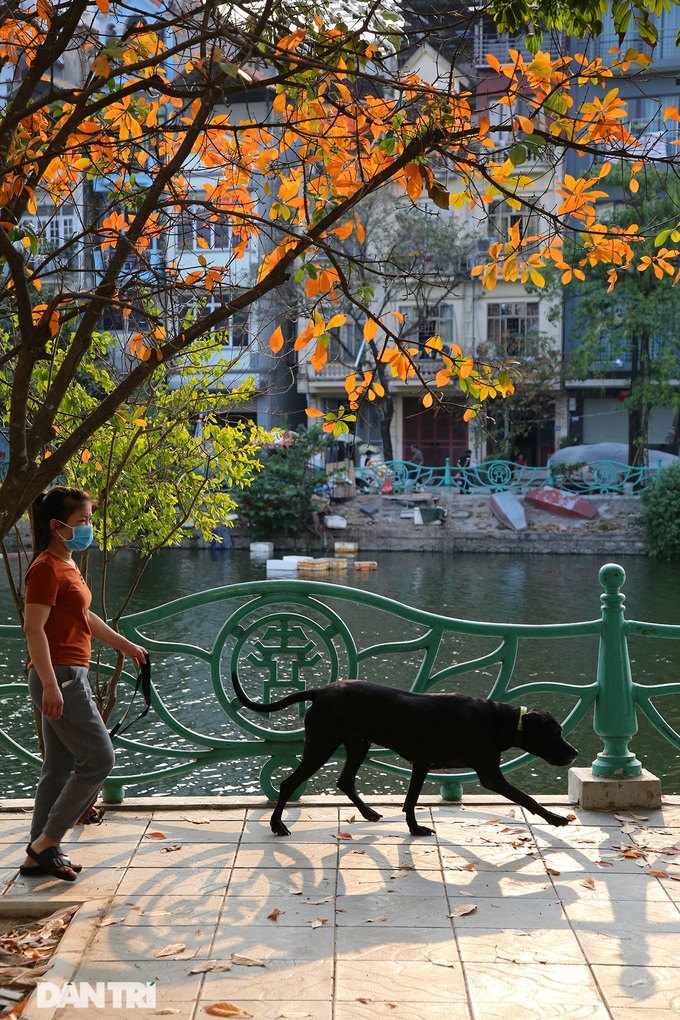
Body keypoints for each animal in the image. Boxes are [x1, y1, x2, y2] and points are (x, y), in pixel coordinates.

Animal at [231, 673, 579, 832]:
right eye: (555, 733)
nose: (574, 753)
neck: (499, 720)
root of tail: (320, 691)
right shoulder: (490, 775)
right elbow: (527, 799)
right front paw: (556, 817)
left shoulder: (421, 763)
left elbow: (411, 801)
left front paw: (414, 829)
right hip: (321, 745)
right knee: (289, 783)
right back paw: (277, 825)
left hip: (357, 744)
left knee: (345, 781)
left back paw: (369, 813)